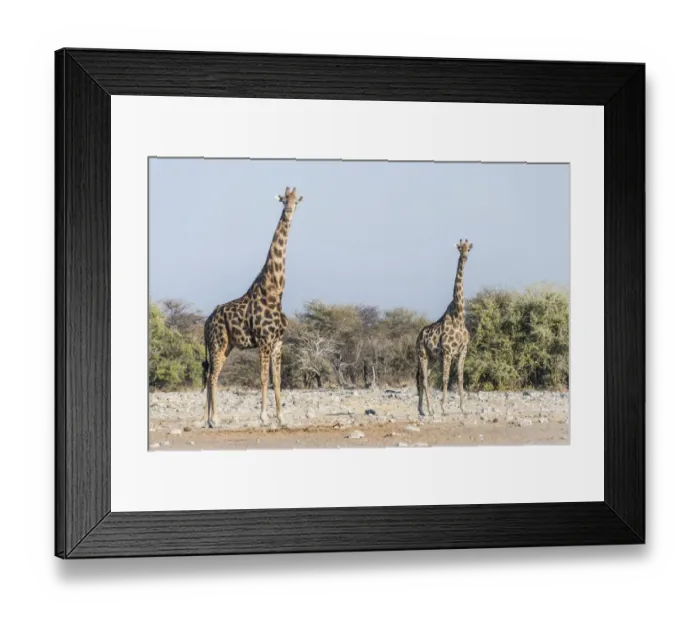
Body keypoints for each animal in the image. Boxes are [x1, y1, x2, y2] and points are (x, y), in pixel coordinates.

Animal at [202, 187, 303, 429]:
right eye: (283, 200)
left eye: (296, 201)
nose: (288, 212)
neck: (275, 292)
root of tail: (206, 322)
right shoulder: (264, 341)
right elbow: (264, 378)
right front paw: (264, 417)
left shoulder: (278, 342)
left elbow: (278, 380)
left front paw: (281, 417)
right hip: (218, 343)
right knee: (213, 376)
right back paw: (214, 419)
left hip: (225, 346)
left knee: (211, 375)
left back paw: (209, 419)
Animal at [416, 239, 474, 417]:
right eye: (460, 248)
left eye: (469, 249)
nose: (464, 257)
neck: (459, 316)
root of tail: (418, 336)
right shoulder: (447, 352)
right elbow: (446, 379)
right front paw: (443, 407)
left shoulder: (462, 351)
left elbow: (460, 378)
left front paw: (463, 408)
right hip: (422, 354)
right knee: (423, 379)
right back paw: (427, 409)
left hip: (432, 358)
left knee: (424, 379)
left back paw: (424, 409)